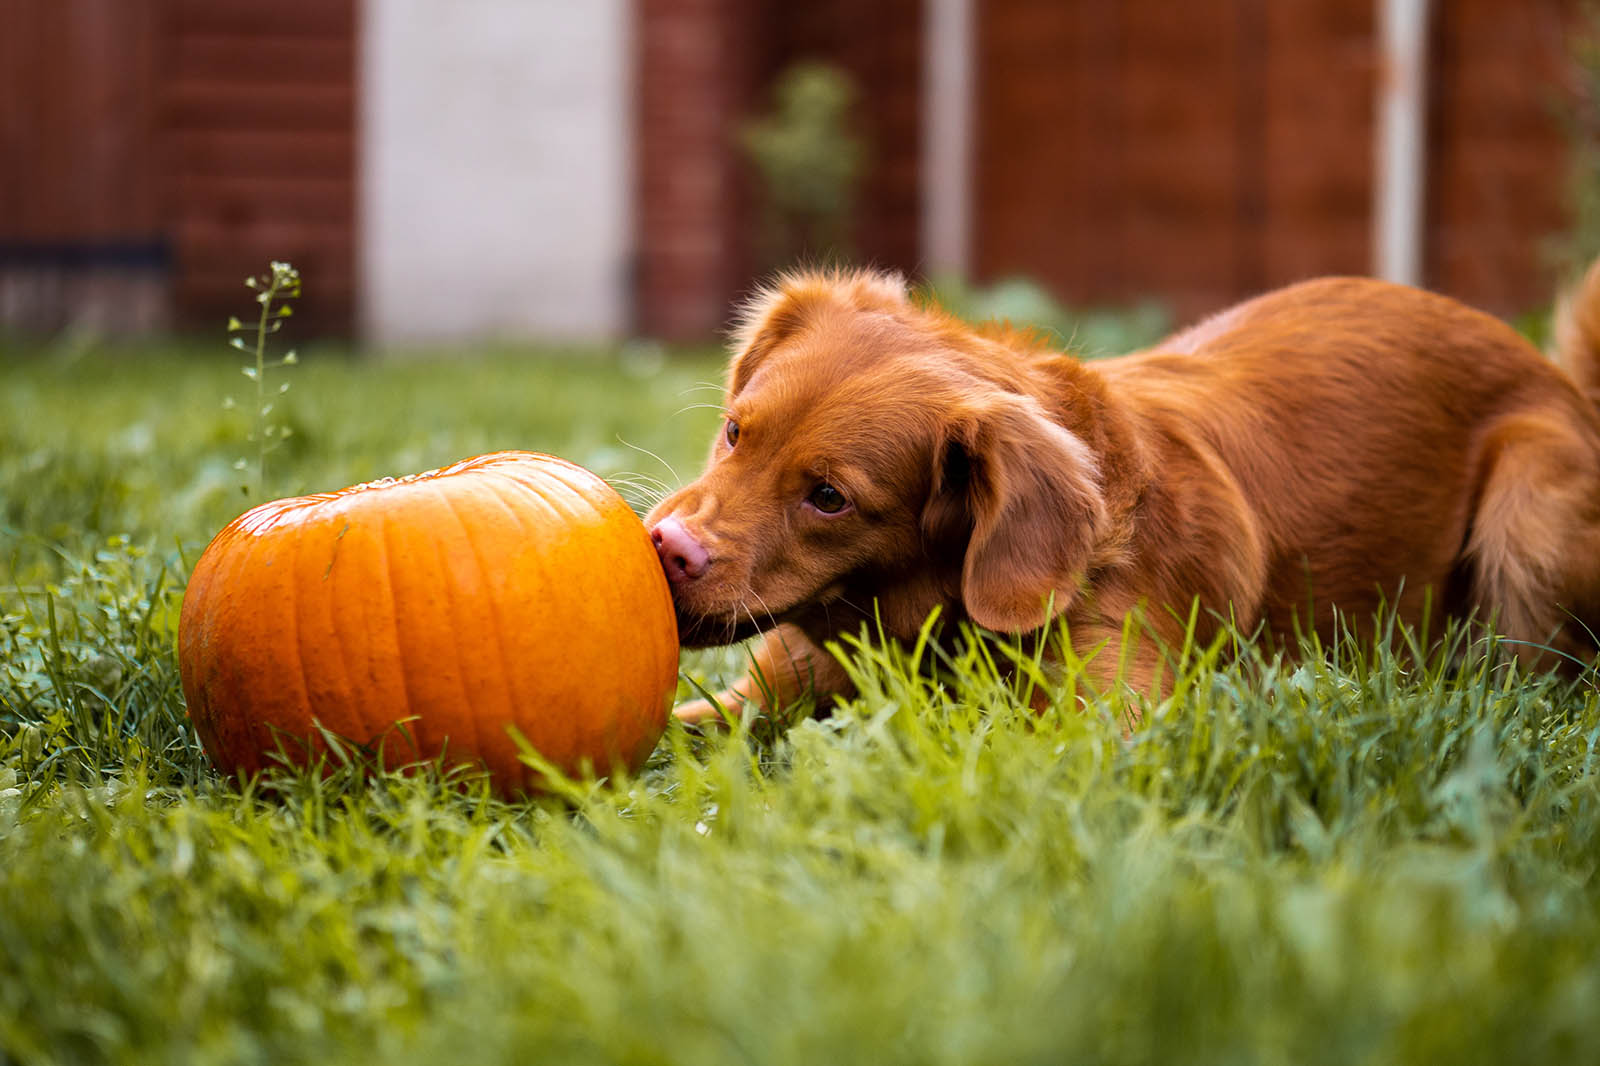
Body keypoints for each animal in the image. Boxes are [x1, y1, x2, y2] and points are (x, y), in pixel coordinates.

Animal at [643, 260, 1600, 717]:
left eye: (829, 498)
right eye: (736, 432)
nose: (668, 549)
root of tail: (1559, 380)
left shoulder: (1111, 726)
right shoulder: (760, 695)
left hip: (1529, 510)